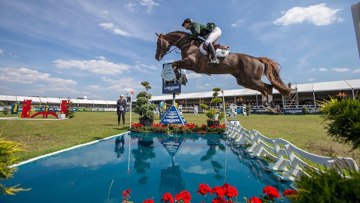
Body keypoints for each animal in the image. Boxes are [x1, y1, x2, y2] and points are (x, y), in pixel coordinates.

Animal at [155, 31, 292, 104]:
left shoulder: (191, 62)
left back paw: (270, 105)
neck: (187, 44)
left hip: (251, 79)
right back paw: (267, 105)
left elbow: (174, 64)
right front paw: (181, 78)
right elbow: (175, 65)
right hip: (244, 81)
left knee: (268, 87)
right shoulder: (188, 64)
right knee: (264, 88)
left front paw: (180, 77)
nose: (157, 57)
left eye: (158, 43)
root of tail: (256, 58)